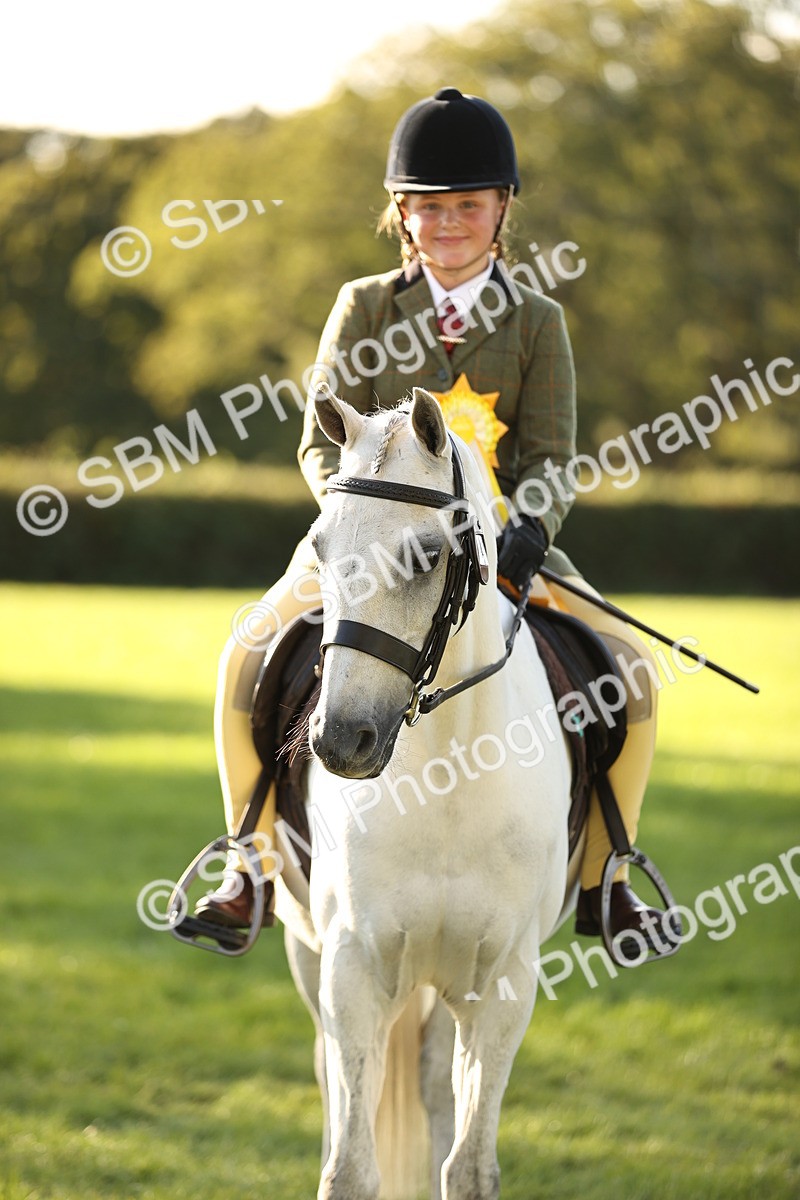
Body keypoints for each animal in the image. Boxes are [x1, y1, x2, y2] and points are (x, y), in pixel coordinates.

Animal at [272, 384, 580, 1200]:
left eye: (424, 555)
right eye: (319, 548)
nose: (340, 740)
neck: (446, 778)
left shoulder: (504, 983)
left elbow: (468, 1166)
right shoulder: (351, 969)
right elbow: (350, 1166)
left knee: (437, 1083)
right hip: (308, 948)